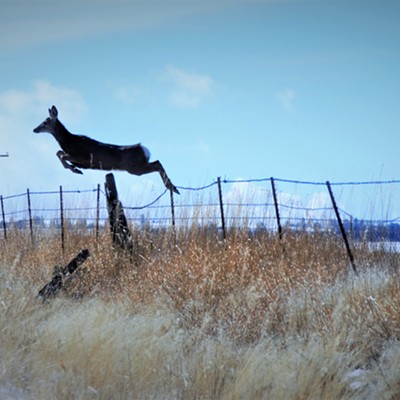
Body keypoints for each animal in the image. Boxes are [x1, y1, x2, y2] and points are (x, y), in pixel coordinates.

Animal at [32, 105, 180, 195]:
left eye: (45, 122)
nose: (35, 129)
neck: (68, 142)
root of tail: (144, 149)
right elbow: (58, 153)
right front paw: (74, 169)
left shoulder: (82, 157)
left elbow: (62, 156)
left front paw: (76, 170)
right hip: (137, 167)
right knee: (157, 162)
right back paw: (173, 187)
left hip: (135, 168)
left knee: (157, 163)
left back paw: (171, 187)